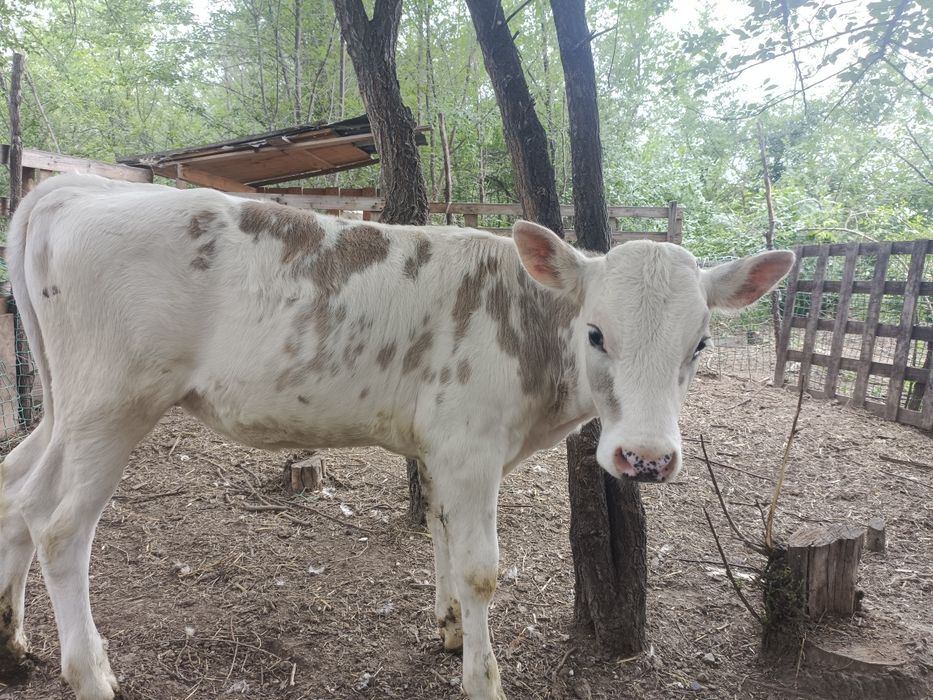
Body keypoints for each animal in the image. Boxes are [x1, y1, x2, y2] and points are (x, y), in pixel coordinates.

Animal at [0, 174, 794, 700]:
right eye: (596, 332)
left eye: (700, 344)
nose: (646, 457)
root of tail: (76, 186)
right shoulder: (471, 447)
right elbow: (481, 568)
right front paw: (483, 677)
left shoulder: (442, 447)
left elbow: (440, 530)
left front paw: (449, 627)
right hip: (112, 403)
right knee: (60, 526)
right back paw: (91, 673)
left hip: (65, 406)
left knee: (16, 491)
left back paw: (13, 640)